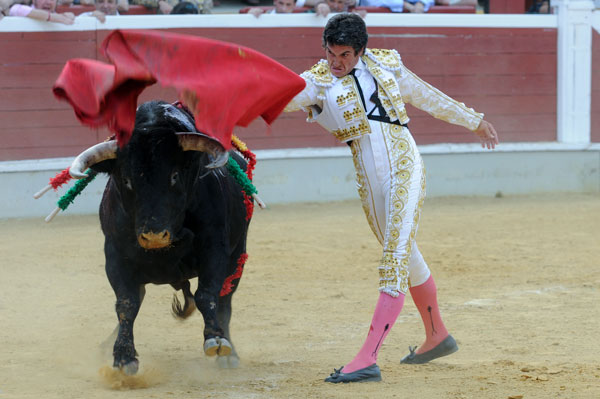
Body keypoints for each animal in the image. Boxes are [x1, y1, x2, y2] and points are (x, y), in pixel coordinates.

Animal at [72, 101, 251, 376]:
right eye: (126, 180)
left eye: (175, 176)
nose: (154, 236)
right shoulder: (115, 254)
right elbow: (126, 304)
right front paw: (123, 356)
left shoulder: (215, 247)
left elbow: (207, 294)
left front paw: (215, 339)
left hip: (237, 253)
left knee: (225, 300)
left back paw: (228, 353)